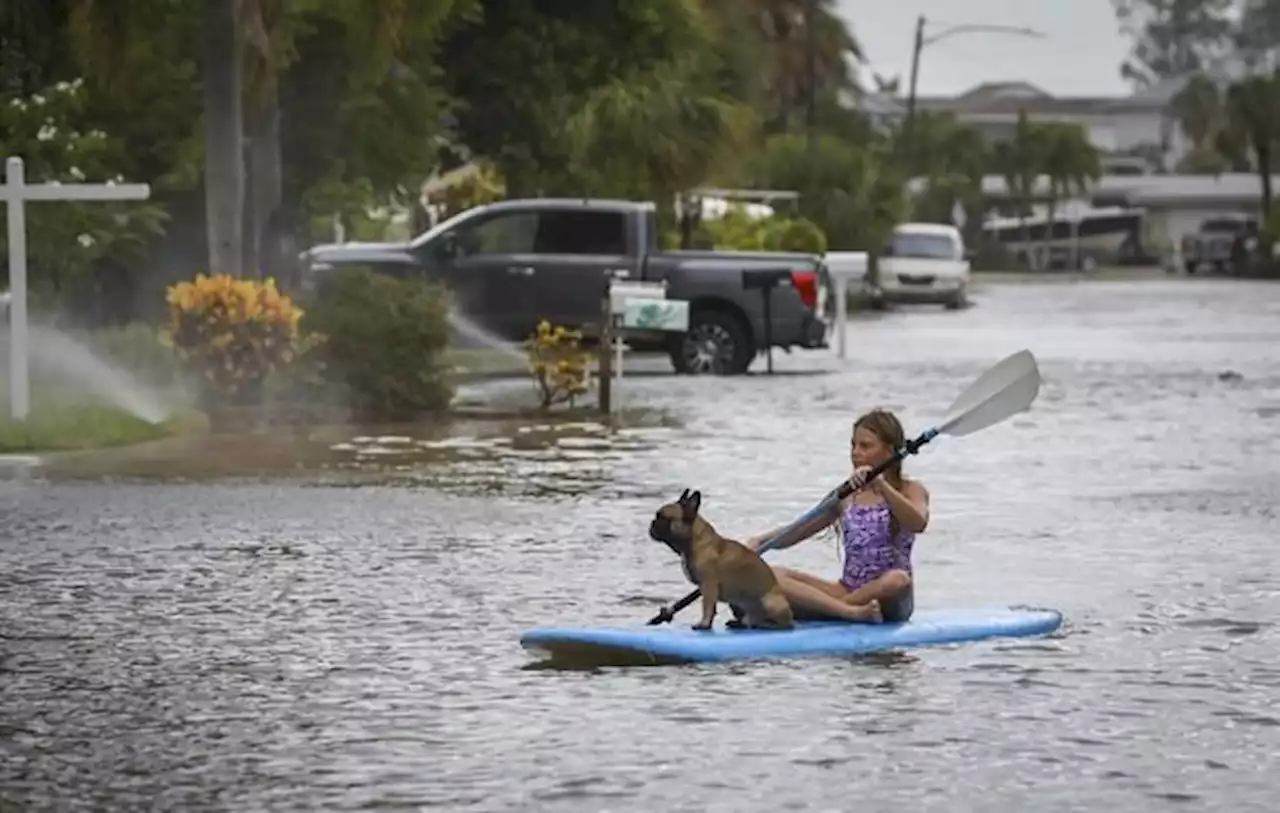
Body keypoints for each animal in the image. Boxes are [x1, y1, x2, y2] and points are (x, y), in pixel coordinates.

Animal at [645, 486, 793, 632]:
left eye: (663, 518)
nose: (652, 523)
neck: (693, 541)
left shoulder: (708, 585)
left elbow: (707, 606)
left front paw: (703, 624)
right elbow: (712, 608)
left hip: (769, 602)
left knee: (783, 624)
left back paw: (766, 624)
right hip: (736, 603)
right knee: (749, 620)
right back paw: (741, 623)